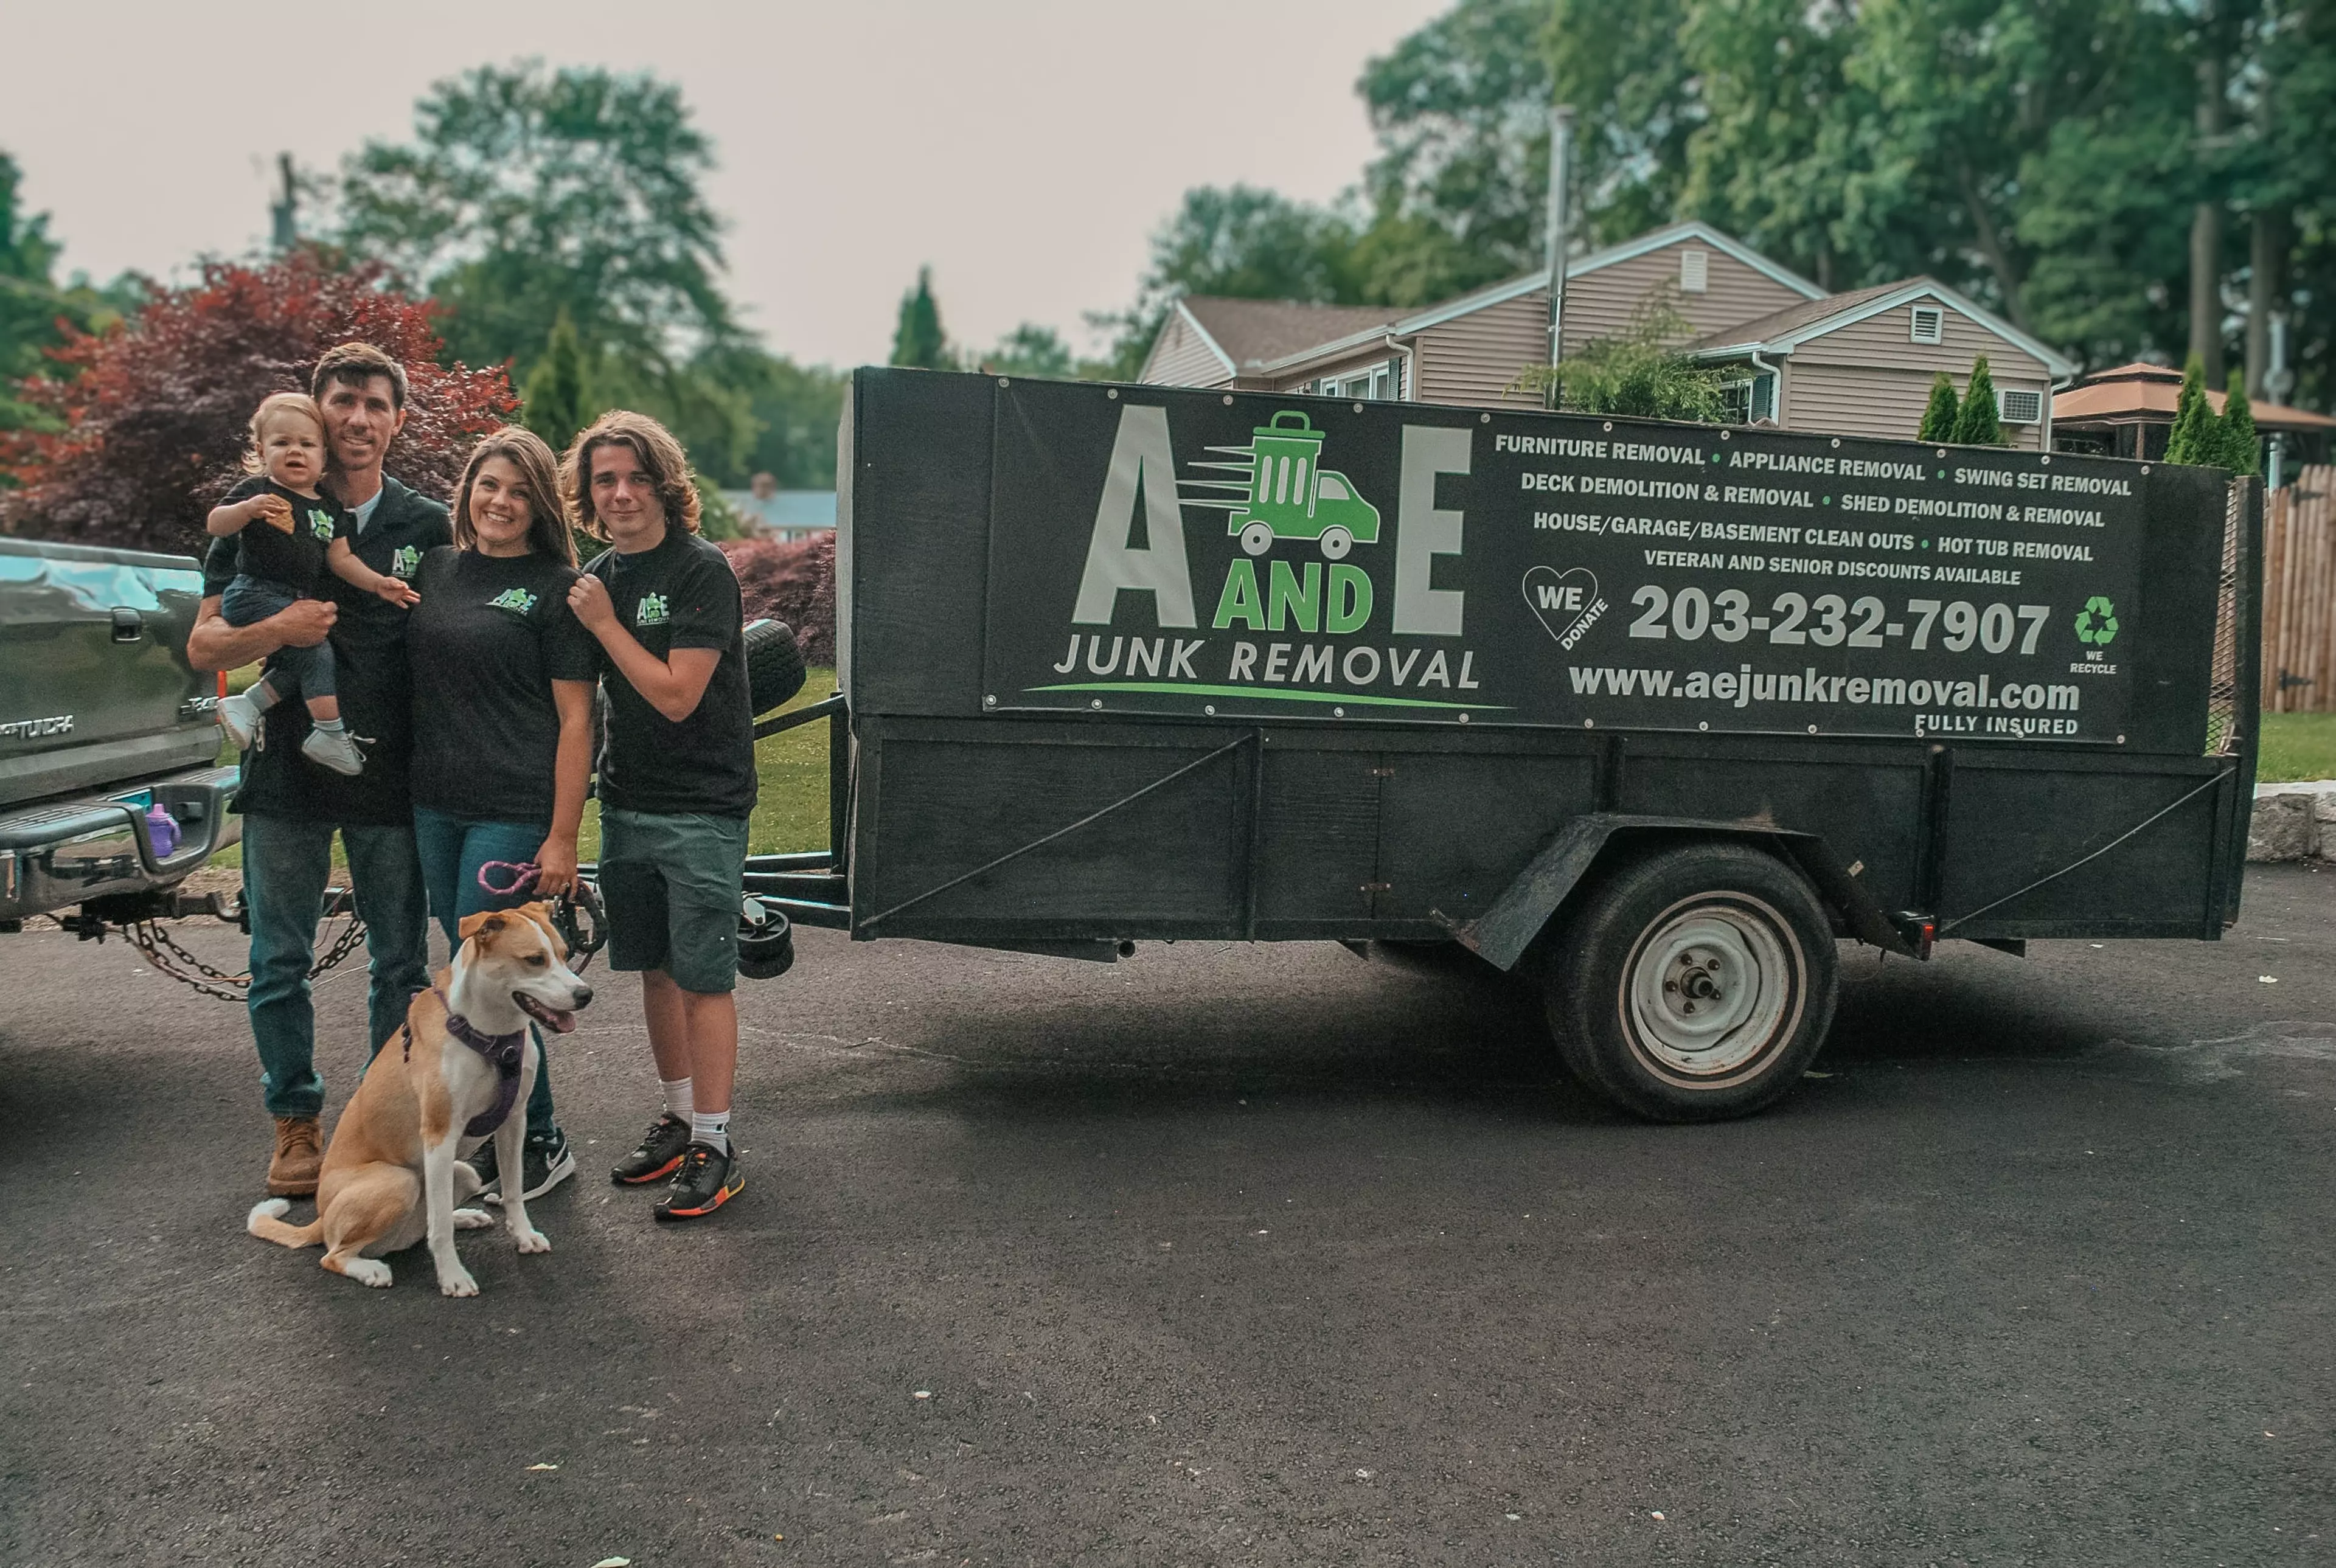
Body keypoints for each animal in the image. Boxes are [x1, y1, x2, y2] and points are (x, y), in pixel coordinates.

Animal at [245, 902, 588, 1289]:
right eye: (534, 960)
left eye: (564, 954)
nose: (585, 995)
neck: (488, 1034)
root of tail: (319, 1219)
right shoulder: (440, 1135)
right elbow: (439, 1227)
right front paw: (453, 1277)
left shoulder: (514, 1122)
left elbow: (513, 1191)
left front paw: (524, 1236)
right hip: (398, 1181)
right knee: (334, 1254)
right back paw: (370, 1270)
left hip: (463, 1173)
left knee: (421, 1224)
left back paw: (464, 1216)